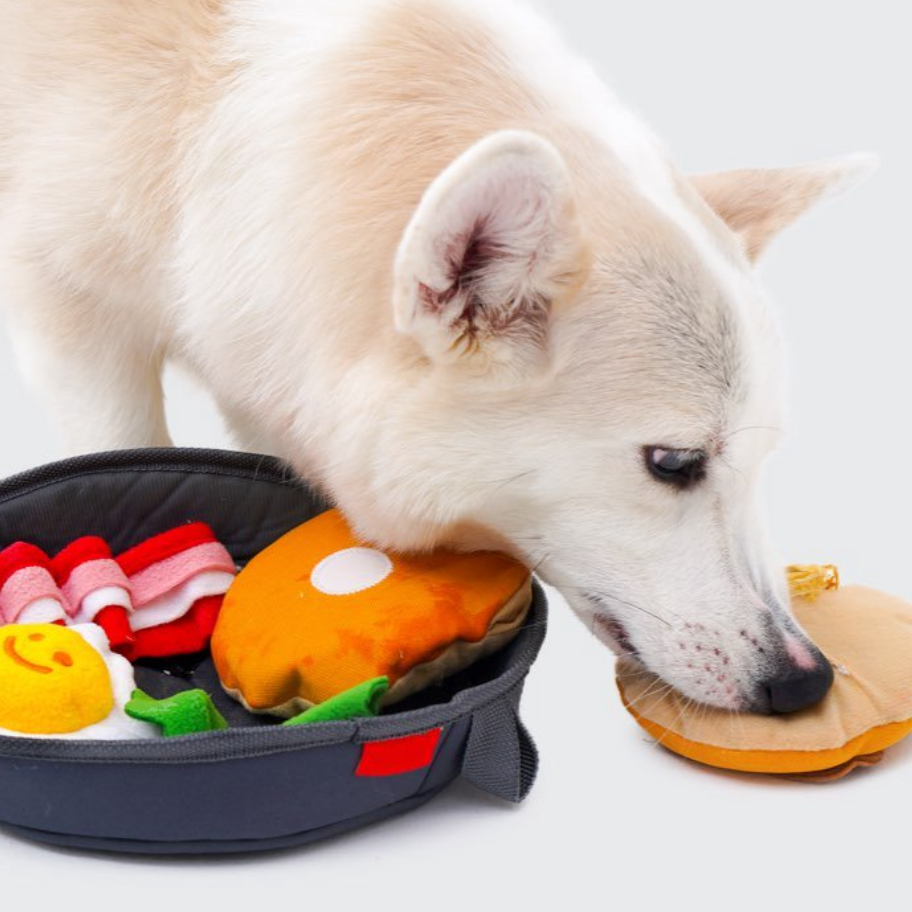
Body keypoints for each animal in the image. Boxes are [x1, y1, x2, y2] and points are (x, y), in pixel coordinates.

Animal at [0, 0, 876, 712]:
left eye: (763, 462)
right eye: (673, 463)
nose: (805, 682)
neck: (208, 136)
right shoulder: (67, 304)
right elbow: (117, 443)